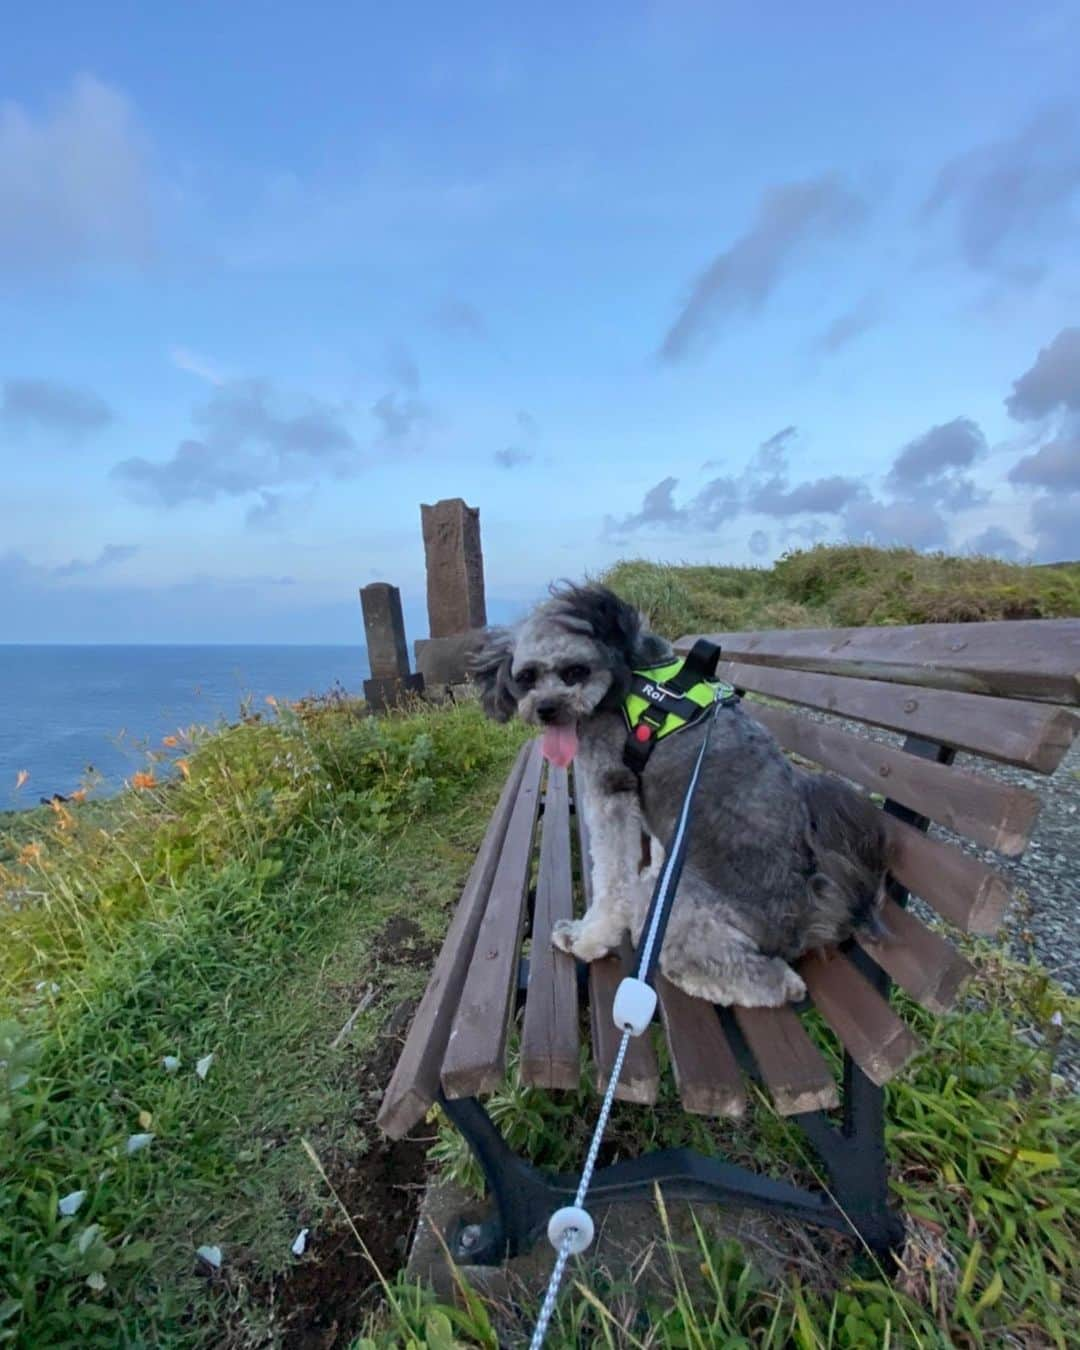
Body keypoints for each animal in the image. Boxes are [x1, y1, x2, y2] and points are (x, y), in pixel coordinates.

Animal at [469, 585, 885, 1009]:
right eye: (526, 678)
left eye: (575, 672)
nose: (546, 709)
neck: (629, 678)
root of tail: (809, 918)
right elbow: (655, 845)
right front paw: (656, 868)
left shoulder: (610, 790)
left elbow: (611, 884)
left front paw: (585, 939)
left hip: (687, 916)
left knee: (756, 976)